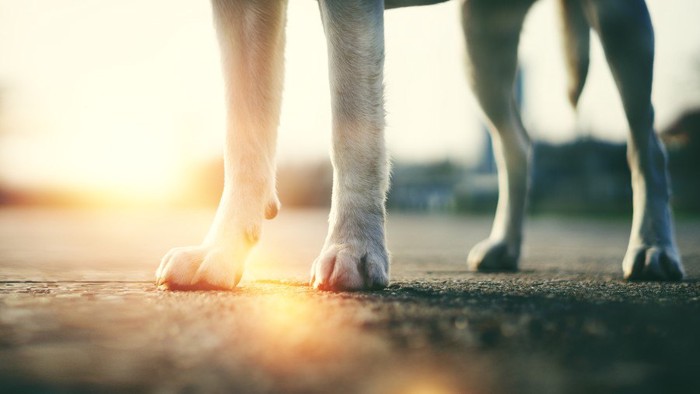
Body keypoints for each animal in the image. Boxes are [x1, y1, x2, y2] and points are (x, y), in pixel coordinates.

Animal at [153, 0, 684, 290]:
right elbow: (243, 132)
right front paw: (219, 251)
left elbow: (353, 123)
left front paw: (354, 248)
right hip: (481, 42)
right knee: (517, 144)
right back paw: (505, 244)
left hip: (621, 20)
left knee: (647, 143)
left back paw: (653, 246)